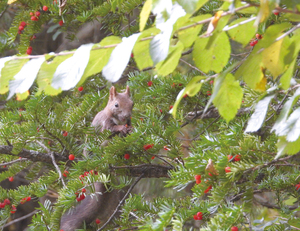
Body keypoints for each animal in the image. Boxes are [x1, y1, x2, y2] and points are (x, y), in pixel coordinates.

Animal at [60, 86, 133, 231]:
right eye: (116, 105)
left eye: (132, 103)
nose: (126, 116)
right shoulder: (105, 123)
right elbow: (110, 129)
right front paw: (121, 128)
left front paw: (130, 129)